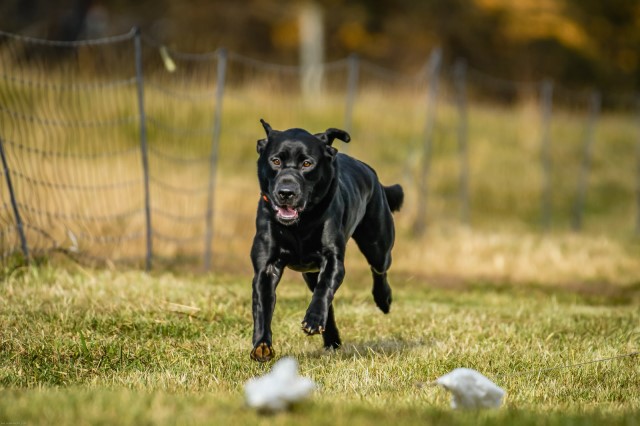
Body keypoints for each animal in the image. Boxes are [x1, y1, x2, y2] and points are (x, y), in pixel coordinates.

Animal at [249, 120, 402, 362]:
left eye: (307, 163)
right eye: (275, 161)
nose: (286, 192)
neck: (300, 225)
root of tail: (370, 171)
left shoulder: (333, 259)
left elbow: (324, 288)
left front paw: (312, 319)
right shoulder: (267, 267)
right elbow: (263, 306)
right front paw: (262, 345)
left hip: (377, 244)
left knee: (378, 269)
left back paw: (383, 299)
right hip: (311, 273)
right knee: (328, 306)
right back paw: (331, 340)